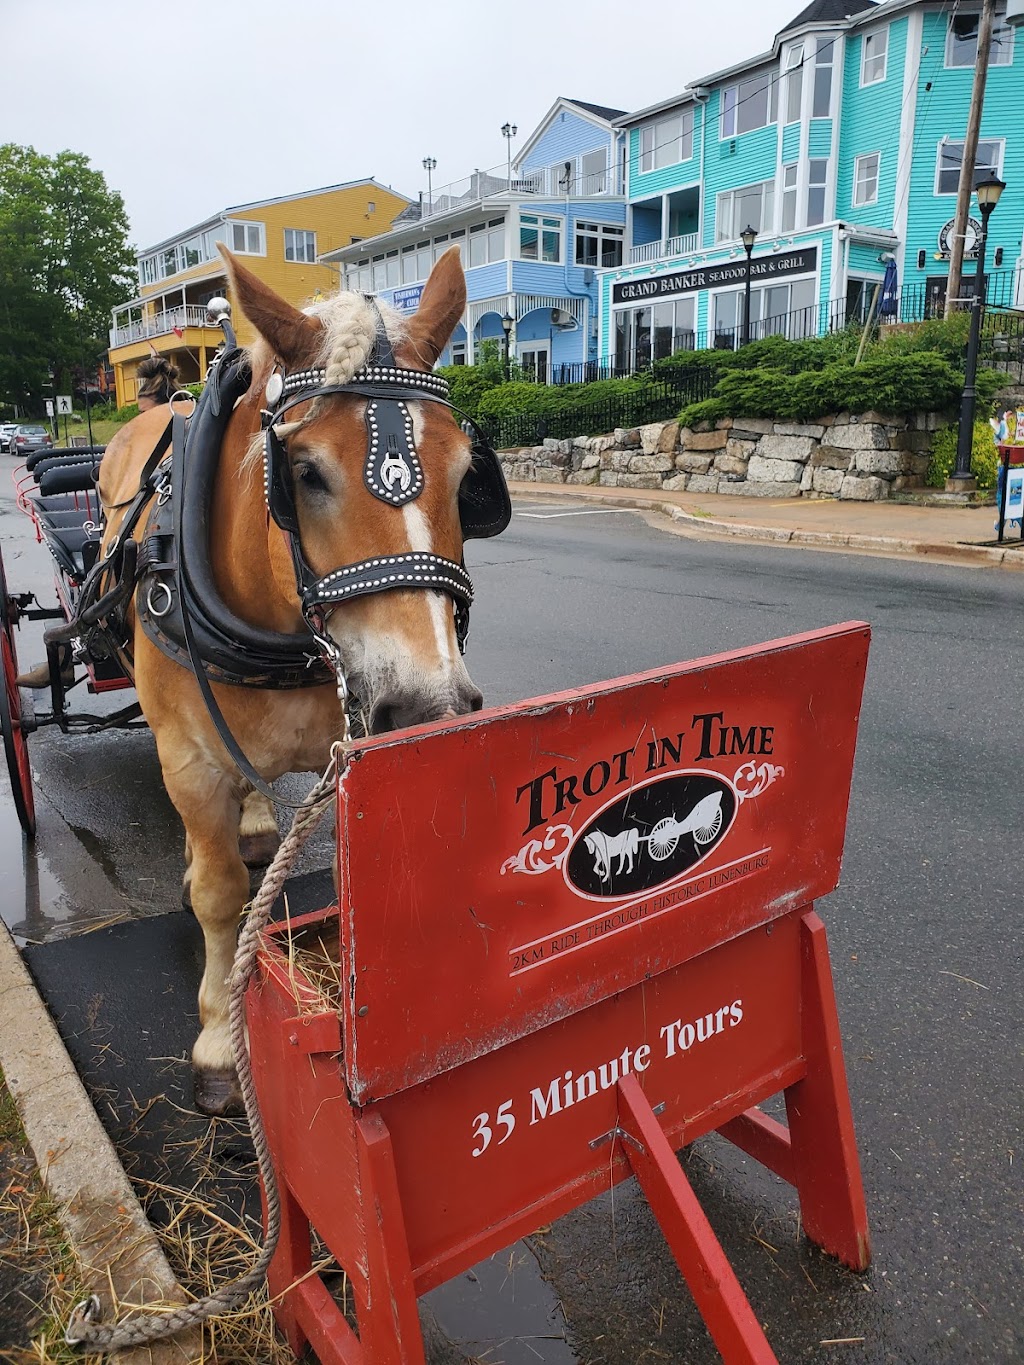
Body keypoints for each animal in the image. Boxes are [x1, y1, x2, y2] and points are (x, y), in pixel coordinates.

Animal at [98, 251, 491, 1113]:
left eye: (466, 474)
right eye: (305, 472)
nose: (431, 705)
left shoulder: (351, 748)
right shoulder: (189, 759)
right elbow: (218, 894)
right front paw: (220, 1038)